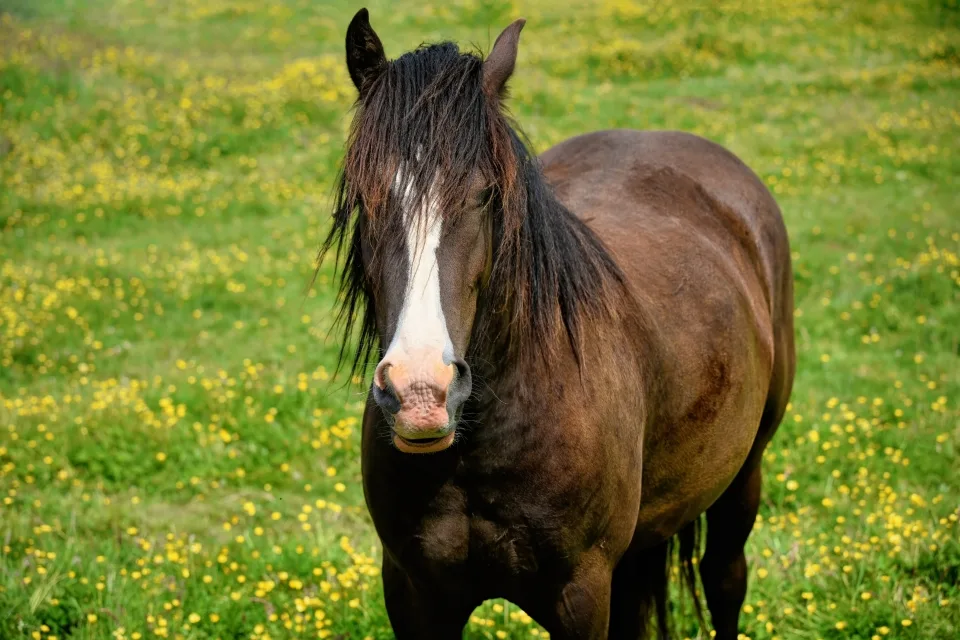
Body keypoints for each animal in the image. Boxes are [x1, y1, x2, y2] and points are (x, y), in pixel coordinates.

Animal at [320, 9, 795, 640]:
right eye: (364, 197)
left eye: (485, 194)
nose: (421, 393)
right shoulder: (413, 594)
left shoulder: (581, 594)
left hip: (744, 476)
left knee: (725, 582)